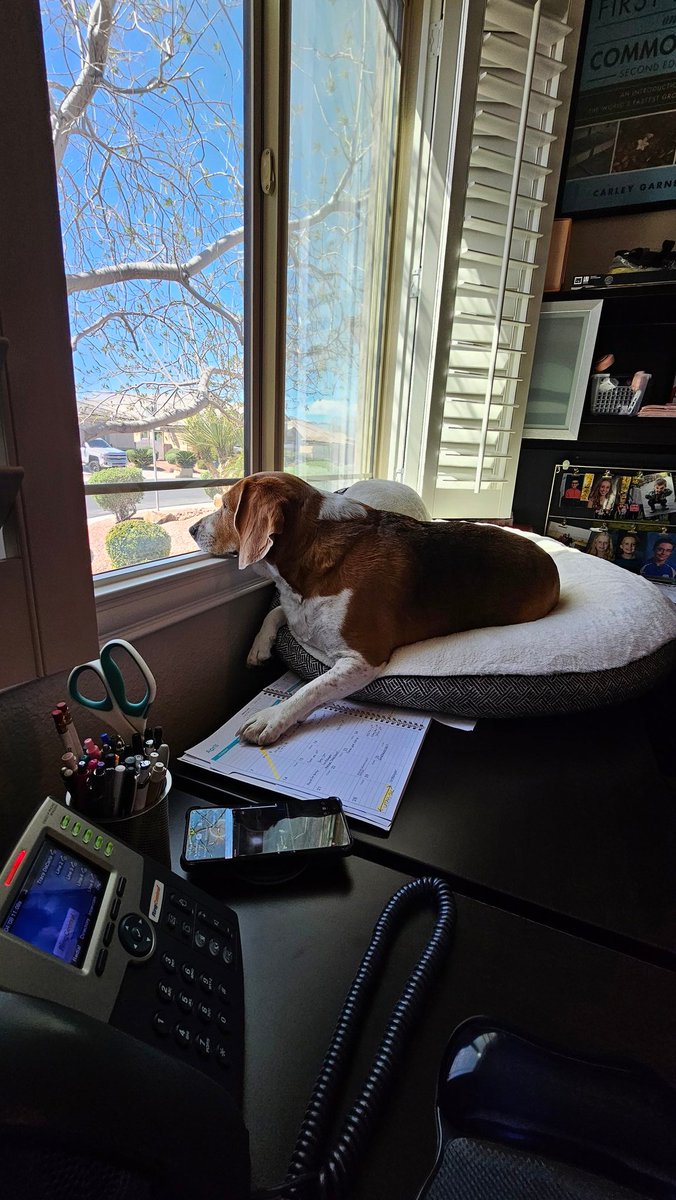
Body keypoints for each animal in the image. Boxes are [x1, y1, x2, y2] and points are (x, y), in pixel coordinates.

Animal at [189, 472, 561, 744]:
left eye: (226, 506)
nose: (192, 528)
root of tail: (548, 557)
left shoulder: (363, 659)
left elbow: (311, 688)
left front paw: (273, 717)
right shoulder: (300, 612)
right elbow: (276, 612)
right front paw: (259, 647)